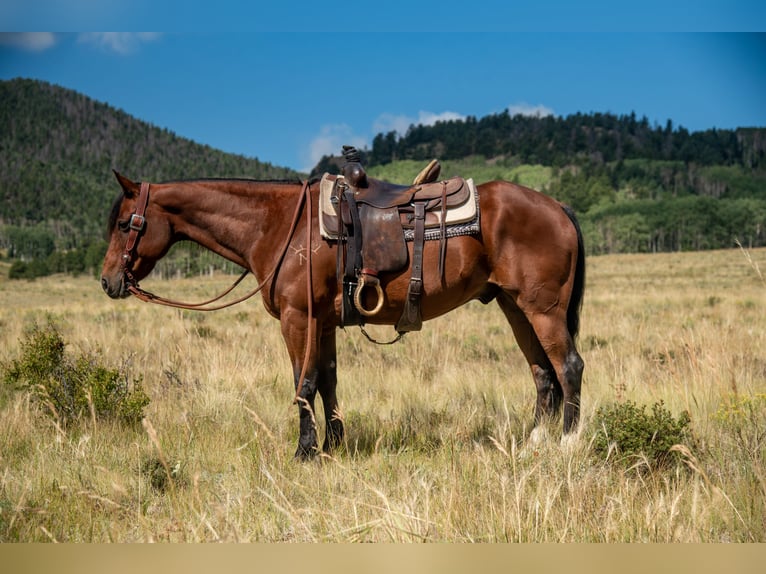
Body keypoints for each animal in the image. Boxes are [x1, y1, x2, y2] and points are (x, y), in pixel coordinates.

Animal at [100, 171, 585, 459]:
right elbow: (328, 381)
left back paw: (567, 442)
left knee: (568, 366)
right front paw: (333, 445)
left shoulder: (298, 318)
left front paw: (305, 451)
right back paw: (534, 443)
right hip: (514, 307)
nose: (108, 281)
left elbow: (304, 383)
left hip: (543, 309)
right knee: (542, 373)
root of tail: (557, 207)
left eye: (125, 224)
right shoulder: (326, 322)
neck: (280, 225)